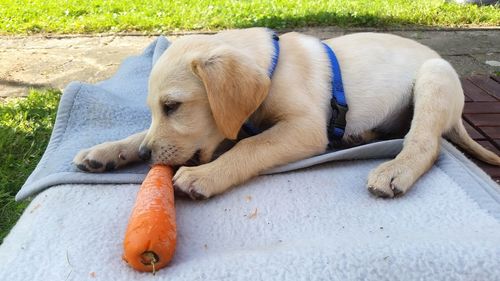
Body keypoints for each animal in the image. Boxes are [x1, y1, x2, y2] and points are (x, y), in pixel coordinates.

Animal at [74, 27, 500, 199]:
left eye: (173, 107)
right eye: (155, 109)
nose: (146, 157)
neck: (273, 67)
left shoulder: (305, 128)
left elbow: (250, 148)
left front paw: (204, 175)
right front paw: (108, 150)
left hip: (434, 77)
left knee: (425, 141)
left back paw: (394, 170)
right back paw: (362, 135)